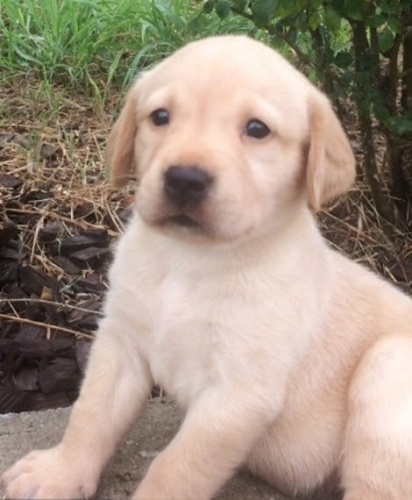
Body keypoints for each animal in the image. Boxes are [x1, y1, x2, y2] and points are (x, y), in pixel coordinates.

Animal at [2, 35, 412, 500]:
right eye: (160, 117)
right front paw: (59, 472)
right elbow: (91, 413)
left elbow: (177, 468)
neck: (189, 260)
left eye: (257, 129)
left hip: (388, 367)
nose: (184, 179)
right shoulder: (121, 341)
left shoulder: (237, 393)